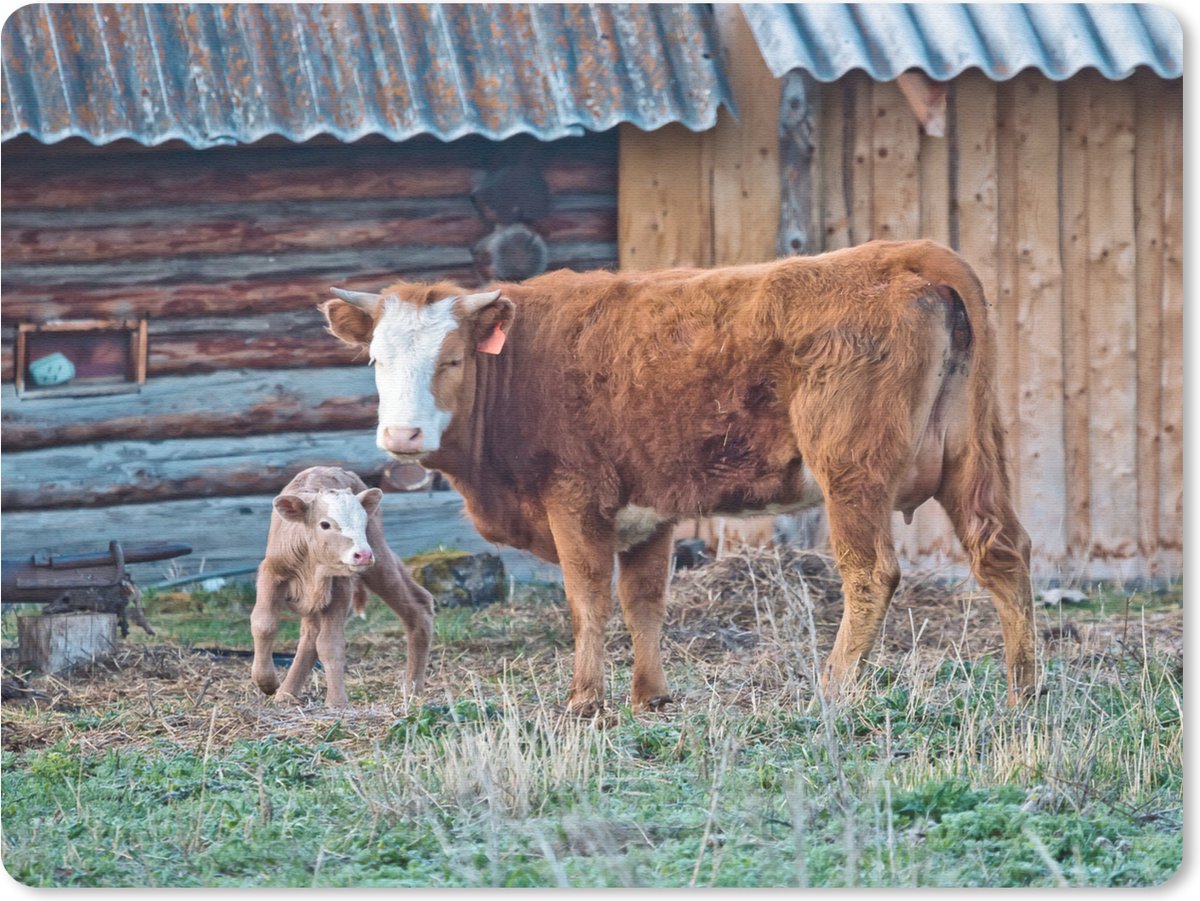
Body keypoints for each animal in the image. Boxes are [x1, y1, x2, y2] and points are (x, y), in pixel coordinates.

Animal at [250, 466, 434, 707]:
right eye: (325, 524)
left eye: (363, 522)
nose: (363, 555)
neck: (311, 565)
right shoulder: (271, 572)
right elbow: (264, 623)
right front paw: (267, 682)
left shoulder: (341, 587)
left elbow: (330, 643)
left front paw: (337, 702)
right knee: (309, 635)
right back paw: (286, 694)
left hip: (378, 559)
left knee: (417, 607)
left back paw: (413, 689)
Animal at [320, 240, 1037, 712]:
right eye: (376, 359)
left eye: (452, 358)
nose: (402, 436)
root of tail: (908, 252)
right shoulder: (647, 513)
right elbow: (644, 602)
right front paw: (650, 696)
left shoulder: (575, 498)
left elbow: (588, 599)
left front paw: (585, 701)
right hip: (973, 454)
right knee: (1001, 552)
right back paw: (1023, 688)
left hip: (851, 470)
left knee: (871, 573)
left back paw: (833, 687)